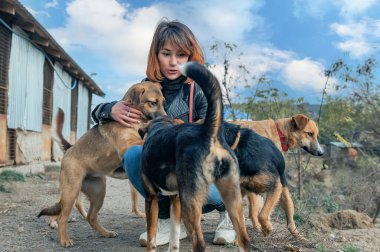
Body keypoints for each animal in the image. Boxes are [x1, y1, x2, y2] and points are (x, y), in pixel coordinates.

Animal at [38, 81, 166, 248]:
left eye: (163, 102)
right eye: (153, 102)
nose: (166, 118)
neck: (135, 120)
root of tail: (69, 150)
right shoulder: (129, 146)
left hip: (97, 192)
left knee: (90, 217)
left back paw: (105, 233)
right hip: (71, 191)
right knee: (62, 216)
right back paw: (64, 239)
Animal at [138, 61, 251, 252]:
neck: (160, 127)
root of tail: (209, 133)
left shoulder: (151, 198)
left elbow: (151, 238)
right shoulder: (175, 199)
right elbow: (174, 237)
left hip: (190, 204)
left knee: (199, 243)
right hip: (233, 198)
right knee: (244, 240)